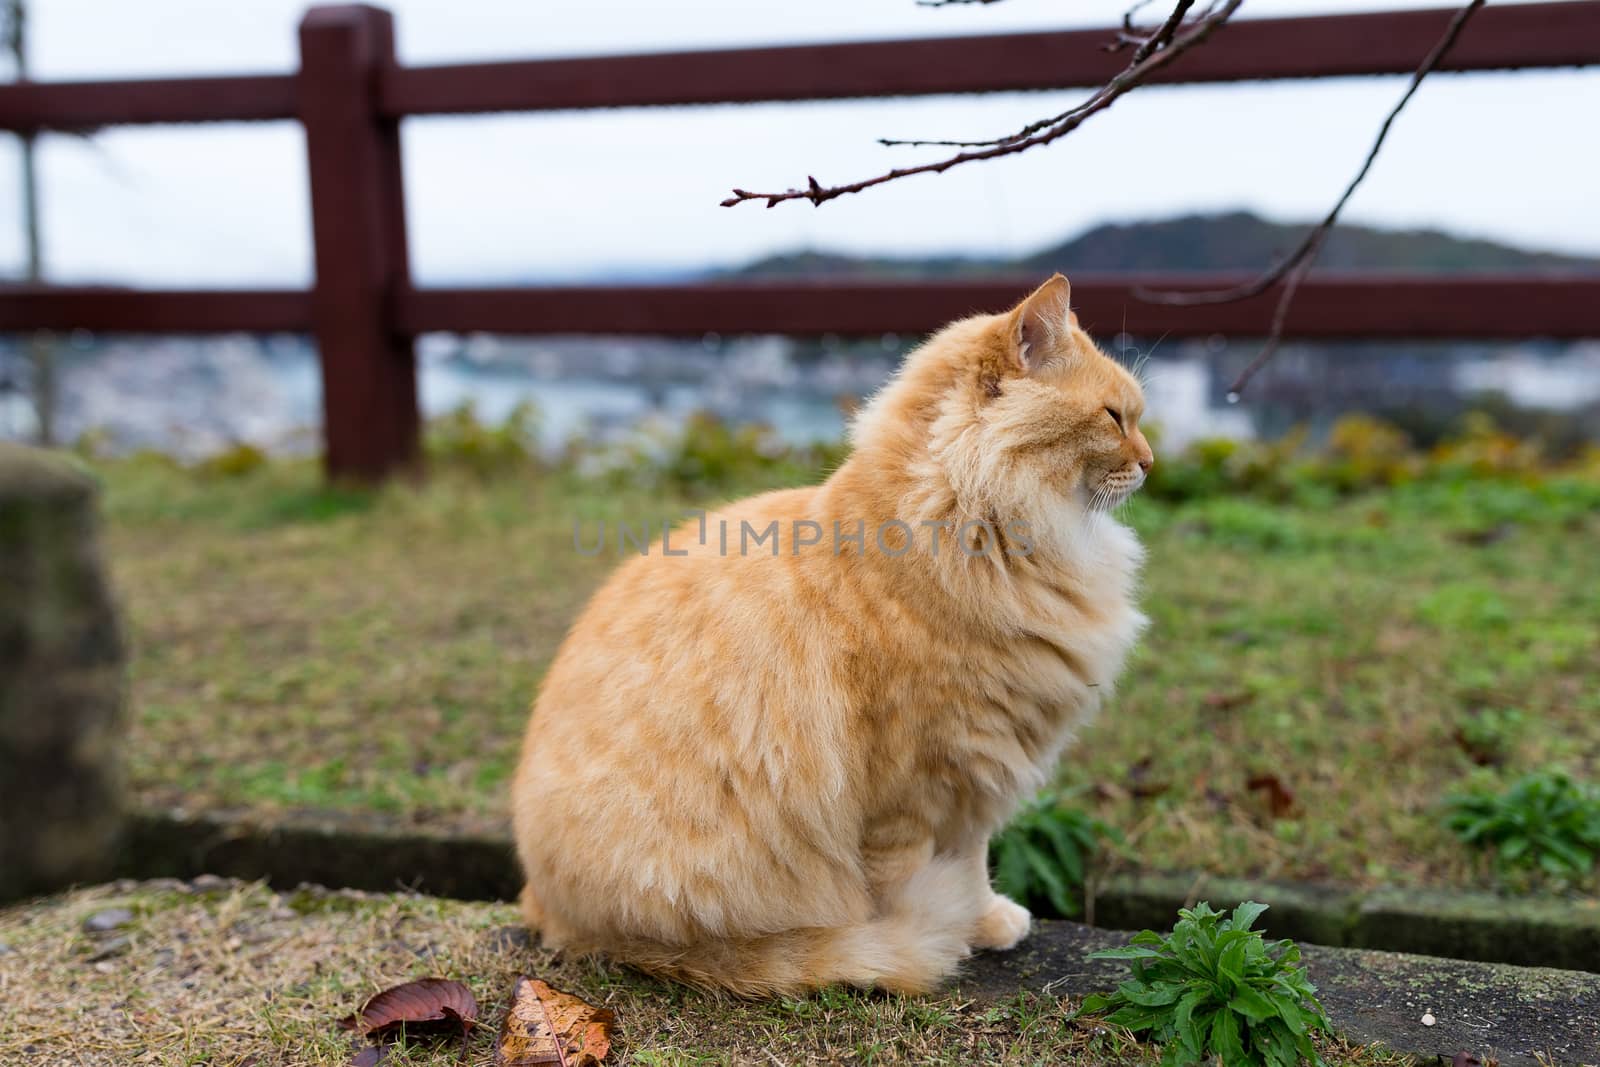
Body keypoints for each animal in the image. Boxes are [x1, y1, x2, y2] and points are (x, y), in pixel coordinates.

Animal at [512, 273, 1152, 991]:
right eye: (1114, 418)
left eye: (1134, 417)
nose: (1151, 462)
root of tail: (542, 902)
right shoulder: (916, 787)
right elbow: (910, 884)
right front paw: (934, 935)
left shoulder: (976, 774)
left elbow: (972, 862)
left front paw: (985, 919)